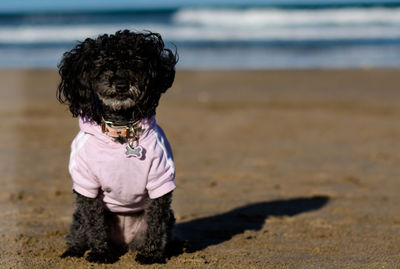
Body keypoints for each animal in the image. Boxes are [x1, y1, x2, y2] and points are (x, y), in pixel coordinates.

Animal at [57, 28, 178, 262]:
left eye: (135, 63)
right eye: (104, 66)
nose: (121, 84)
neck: (122, 129)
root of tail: (125, 244)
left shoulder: (160, 179)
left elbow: (157, 222)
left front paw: (151, 255)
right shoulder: (86, 183)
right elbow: (94, 223)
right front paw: (100, 253)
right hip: (78, 218)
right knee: (79, 231)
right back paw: (73, 251)